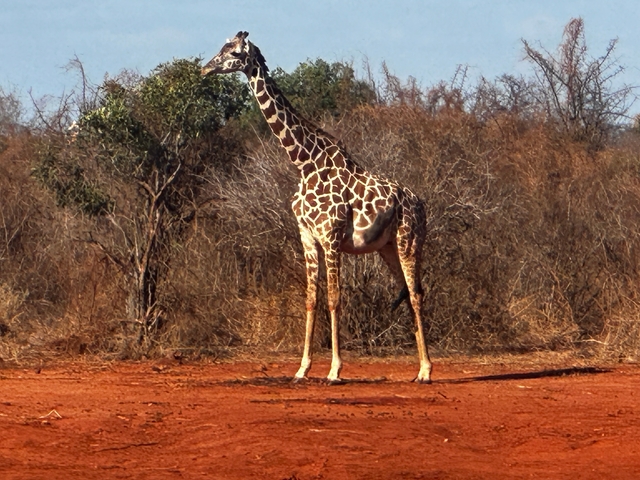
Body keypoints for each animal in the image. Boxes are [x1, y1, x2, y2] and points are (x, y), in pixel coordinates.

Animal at [202, 31, 432, 383]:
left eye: (233, 52)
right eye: (222, 47)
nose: (205, 68)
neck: (304, 163)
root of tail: (420, 205)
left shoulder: (331, 236)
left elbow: (334, 299)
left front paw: (335, 370)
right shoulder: (308, 237)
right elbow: (311, 299)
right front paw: (302, 369)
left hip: (410, 241)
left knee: (417, 293)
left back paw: (427, 370)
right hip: (388, 247)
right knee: (409, 291)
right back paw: (418, 369)